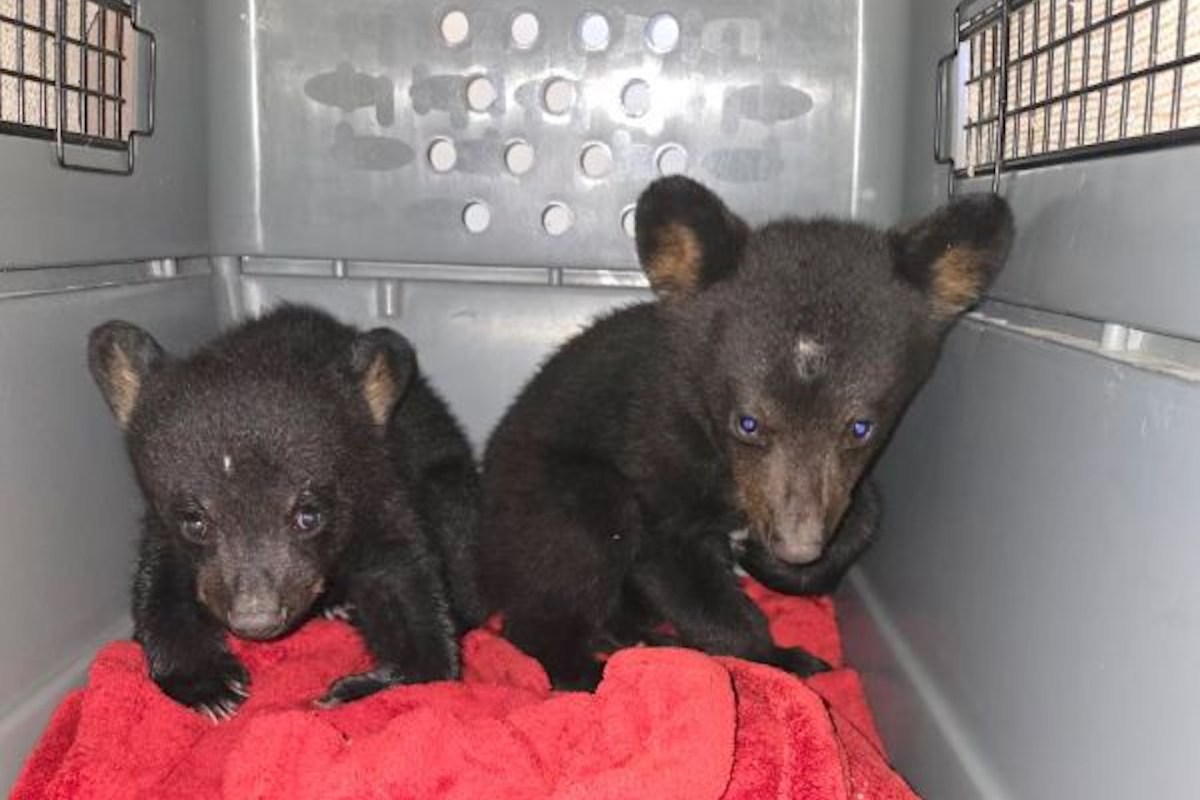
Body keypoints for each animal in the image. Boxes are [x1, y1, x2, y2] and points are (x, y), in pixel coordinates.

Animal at [87, 305, 481, 719]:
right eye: (195, 521)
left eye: (308, 515)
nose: (255, 618)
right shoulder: (165, 528)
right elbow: (158, 585)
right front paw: (209, 686)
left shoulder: (379, 492)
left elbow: (405, 582)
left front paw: (357, 688)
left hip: (450, 489)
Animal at [477, 176, 1014, 689]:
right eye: (747, 422)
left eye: (861, 427)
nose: (796, 546)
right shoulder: (655, 449)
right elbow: (677, 564)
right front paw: (783, 659)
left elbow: (866, 511)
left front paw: (778, 567)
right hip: (557, 499)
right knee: (563, 570)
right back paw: (592, 673)